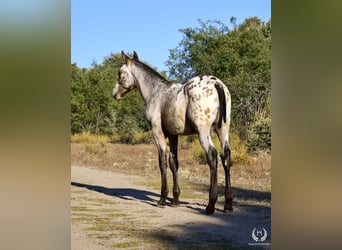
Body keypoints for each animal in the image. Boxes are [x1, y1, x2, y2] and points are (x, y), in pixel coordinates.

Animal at [113, 51, 234, 215]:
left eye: (120, 73)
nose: (114, 94)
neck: (156, 91)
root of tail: (217, 84)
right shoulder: (173, 135)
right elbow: (174, 162)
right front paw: (175, 199)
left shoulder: (157, 131)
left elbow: (162, 162)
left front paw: (163, 199)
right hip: (223, 130)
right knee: (225, 156)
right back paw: (228, 204)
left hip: (203, 132)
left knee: (212, 156)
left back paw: (211, 204)